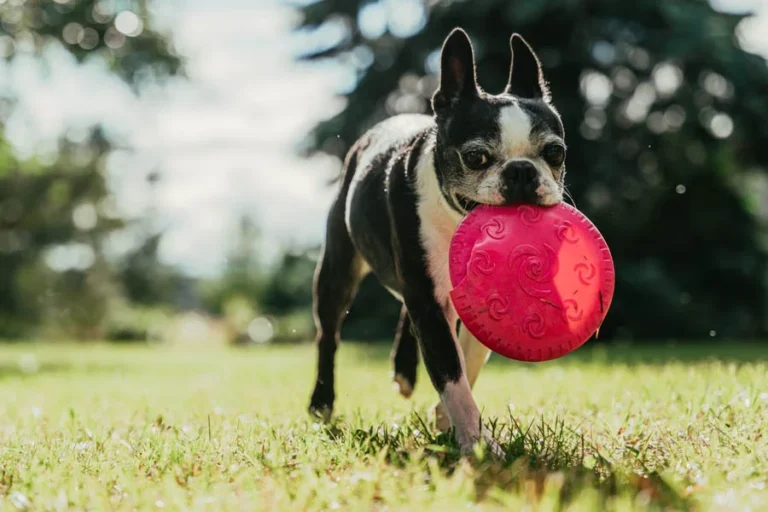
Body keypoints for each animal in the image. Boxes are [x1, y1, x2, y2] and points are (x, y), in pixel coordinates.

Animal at [308, 26, 568, 454]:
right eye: (476, 157)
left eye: (555, 152)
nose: (522, 171)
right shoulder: (428, 300)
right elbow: (451, 371)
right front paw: (478, 444)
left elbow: (467, 360)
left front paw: (451, 423)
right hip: (337, 271)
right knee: (328, 334)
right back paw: (322, 403)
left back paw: (404, 371)